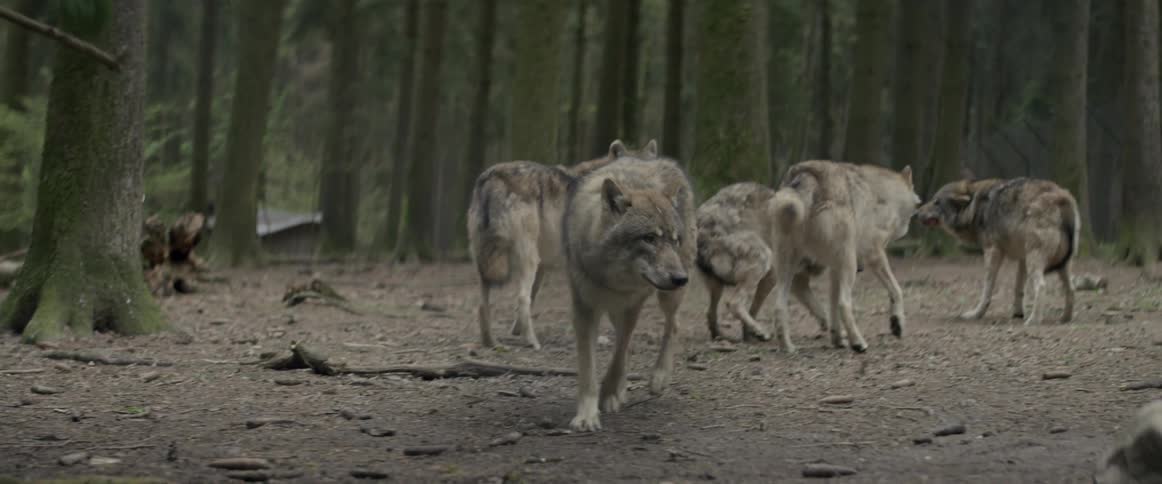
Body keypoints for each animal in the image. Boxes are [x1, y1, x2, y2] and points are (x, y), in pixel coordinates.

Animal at [467, 139, 657, 350]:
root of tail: (494, 177)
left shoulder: (543, 266)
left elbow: (533, 297)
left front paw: (516, 330)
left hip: (487, 263)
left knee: (483, 304)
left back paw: (490, 342)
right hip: (527, 259)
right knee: (521, 298)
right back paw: (533, 342)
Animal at [562, 152, 695, 432]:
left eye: (674, 240)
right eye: (649, 238)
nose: (681, 279)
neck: (612, 279)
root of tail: (663, 160)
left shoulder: (633, 304)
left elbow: (620, 351)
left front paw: (610, 393)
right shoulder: (584, 309)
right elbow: (589, 367)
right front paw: (587, 415)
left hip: (668, 297)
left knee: (674, 324)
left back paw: (659, 377)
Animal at [695, 182, 830, 345]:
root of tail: (703, 229)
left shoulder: (798, 283)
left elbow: (820, 310)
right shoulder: (776, 277)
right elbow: (754, 309)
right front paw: (752, 334)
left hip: (717, 285)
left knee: (710, 313)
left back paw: (721, 337)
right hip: (764, 261)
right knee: (733, 303)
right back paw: (759, 331)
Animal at [766, 160, 920, 353]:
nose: (918, 210)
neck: (885, 197)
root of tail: (806, 174)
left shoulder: (834, 268)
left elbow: (832, 307)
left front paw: (838, 339)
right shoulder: (874, 254)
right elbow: (897, 290)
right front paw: (897, 323)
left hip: (790, 266)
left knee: (779, 307)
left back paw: (788, 347)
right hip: (848, 265)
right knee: (844, 304)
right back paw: (859, 343)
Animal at [916, 175, 1079, 325]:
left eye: (936, 202)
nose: (916, 213)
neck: (975, 206)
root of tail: (1062, 198)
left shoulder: (992, 251)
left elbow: (987, 290)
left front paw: (976, 314)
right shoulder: (1022, 258)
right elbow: (1018, 289)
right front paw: (1017, 313)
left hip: (1036, 260)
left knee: (1041, 286)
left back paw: (1033, 320)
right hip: (1061, 264)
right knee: (1071, 289)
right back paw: (1065, 319)